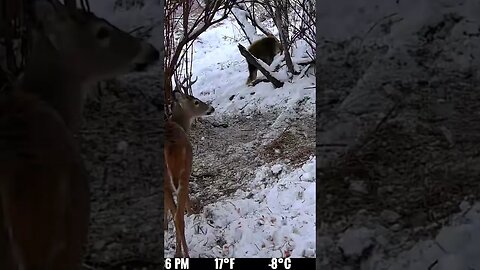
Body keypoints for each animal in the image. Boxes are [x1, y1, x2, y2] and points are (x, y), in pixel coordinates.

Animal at [166, 83, 215, 258]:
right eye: (196, 101)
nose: (211, 108)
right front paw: (192, 212)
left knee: (175, 215)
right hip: (183, 173)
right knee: (178, 217)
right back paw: (184, 254)